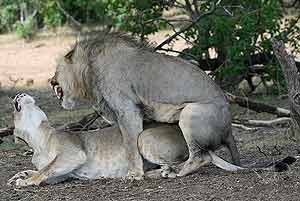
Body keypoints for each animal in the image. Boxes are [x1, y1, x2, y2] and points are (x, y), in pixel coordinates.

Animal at [8, 93, 244, 188]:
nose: (19, 94)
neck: (39, 140)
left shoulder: (73, 154)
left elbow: (44, 170)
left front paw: (24, 181)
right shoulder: (62, 174)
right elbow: (42, 170)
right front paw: (19, 176)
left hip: (143, 138)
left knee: (195, 160)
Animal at [50, 32, 240, 179]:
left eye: (57, 70)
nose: (51, 81)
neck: (89, 72)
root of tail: (229, 128)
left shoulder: (127, 110)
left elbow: (130, 144)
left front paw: (134, 174)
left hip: (190, 113)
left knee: (200, 157)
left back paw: (170, 172)